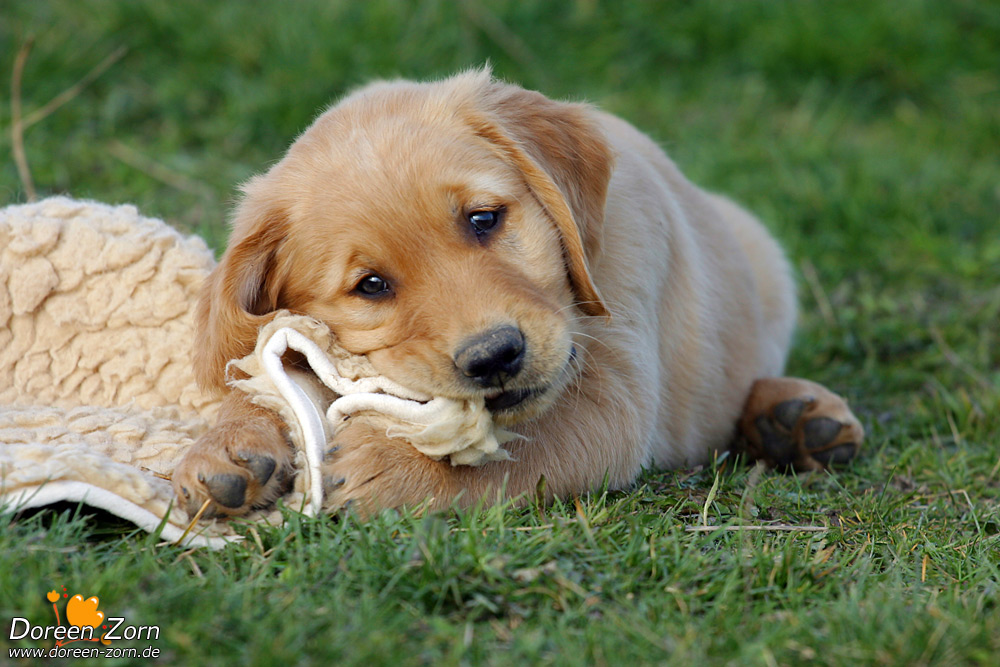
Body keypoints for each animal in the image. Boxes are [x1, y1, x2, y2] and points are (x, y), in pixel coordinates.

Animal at [170, 69, 860, 516]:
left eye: (484, 219)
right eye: (371, 286)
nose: (495, 356)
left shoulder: (615, 396)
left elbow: (518, 447)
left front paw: (394, 464)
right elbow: (259, 375)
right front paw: (231, 445)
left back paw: (795, 416)